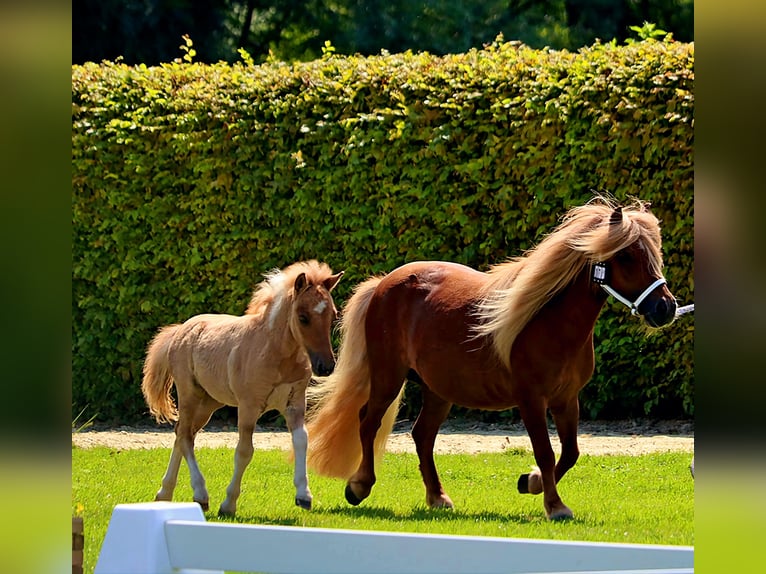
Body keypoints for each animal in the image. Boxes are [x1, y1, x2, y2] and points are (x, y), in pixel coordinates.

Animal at [140, 260, 342, 516]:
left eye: (333, 315)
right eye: (303, 316)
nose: (326, 366)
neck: (275, 353)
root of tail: (180, 330)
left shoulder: (295, 403)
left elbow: (301, 441)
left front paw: (304, 495)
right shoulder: (249, 406)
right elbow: (244, 451)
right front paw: (228, 504)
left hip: (209, 402)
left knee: (182, 434)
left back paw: (165, 494)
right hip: (189, 395)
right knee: (185, 436)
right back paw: (200, 494)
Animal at [306, 199, 680, 520]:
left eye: (656, 252)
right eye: (627, 256)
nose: (665, 307)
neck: (548, 321)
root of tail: (383, 283)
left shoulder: (566, 399)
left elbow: (570, 452)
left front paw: (531, 482)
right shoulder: (531, 400)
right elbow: (545, 452)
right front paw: (555, 506)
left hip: (437, 389)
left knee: (422, 435)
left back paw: (437, 497)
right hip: (388, 377)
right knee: (368, 422)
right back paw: (359, 486)